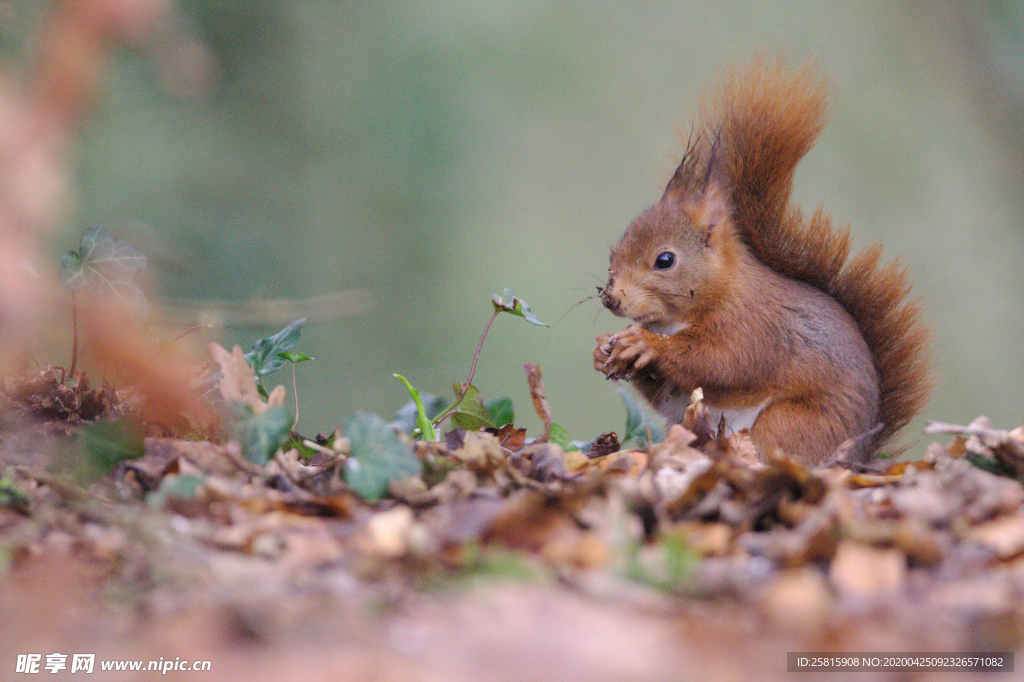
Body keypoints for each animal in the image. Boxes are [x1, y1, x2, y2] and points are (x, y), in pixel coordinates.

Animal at [598, 59, 933, 462]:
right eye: (614, 251)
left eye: (665, 260)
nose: (612, 299)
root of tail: (858, 457)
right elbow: (664, 390)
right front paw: (604, 348)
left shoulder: (756, 329)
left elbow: (720, 361)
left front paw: (647, 344)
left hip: (790, 424)